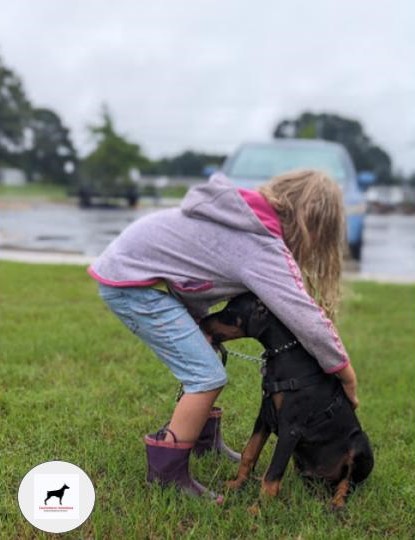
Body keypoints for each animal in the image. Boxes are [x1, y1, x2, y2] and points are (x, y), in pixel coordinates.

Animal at [200, 294, 376, 508]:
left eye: (230, 311)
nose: (201, 321)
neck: (285, 354)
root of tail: (323, 481)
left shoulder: (290, 429)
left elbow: (273, 473)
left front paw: (258, 509)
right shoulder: (264, 418)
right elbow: (249, 452)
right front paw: (236, 484)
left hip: (360, 442)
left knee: (348, 483)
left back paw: (337, 504)